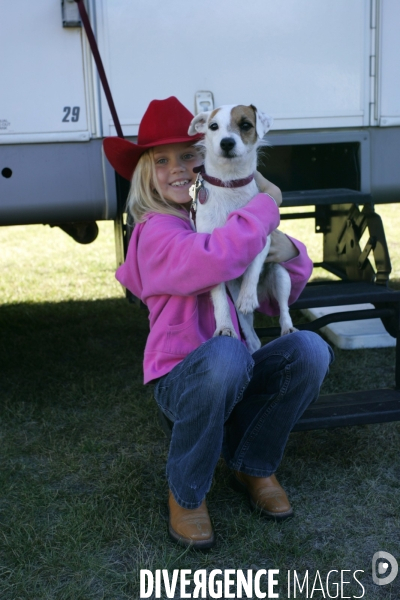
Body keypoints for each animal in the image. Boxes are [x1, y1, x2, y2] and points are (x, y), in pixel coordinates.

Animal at [188, 105, 296, 354]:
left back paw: (287, 328)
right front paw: (224, 327)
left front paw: (248, 296)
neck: (230, 183)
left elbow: (254, 266)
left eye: (246, 124)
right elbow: (219, 300)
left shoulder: (264, 240)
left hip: (281, 276)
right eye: (213, 126)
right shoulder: (209, 254)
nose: (227, 142)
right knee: (253, 338)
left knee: (283, 309)